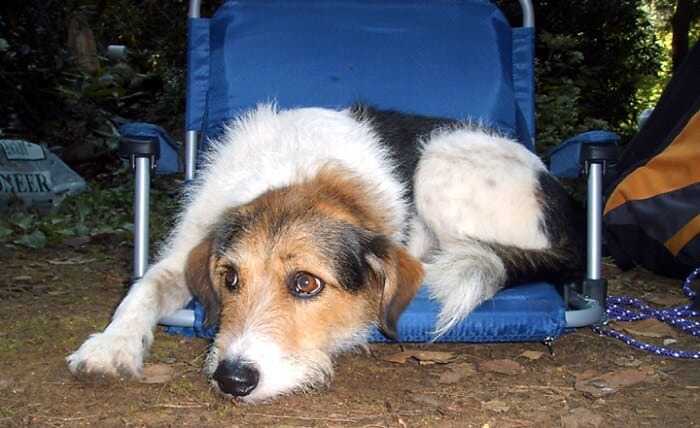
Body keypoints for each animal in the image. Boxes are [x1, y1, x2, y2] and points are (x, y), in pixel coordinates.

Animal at [67, 104, 584, 402]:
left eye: (306, 283)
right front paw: (111, 346)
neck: (297, 172)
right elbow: (142, 288)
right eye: (230, 280)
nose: (232, 381)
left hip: (440, 158)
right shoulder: (183, 253)